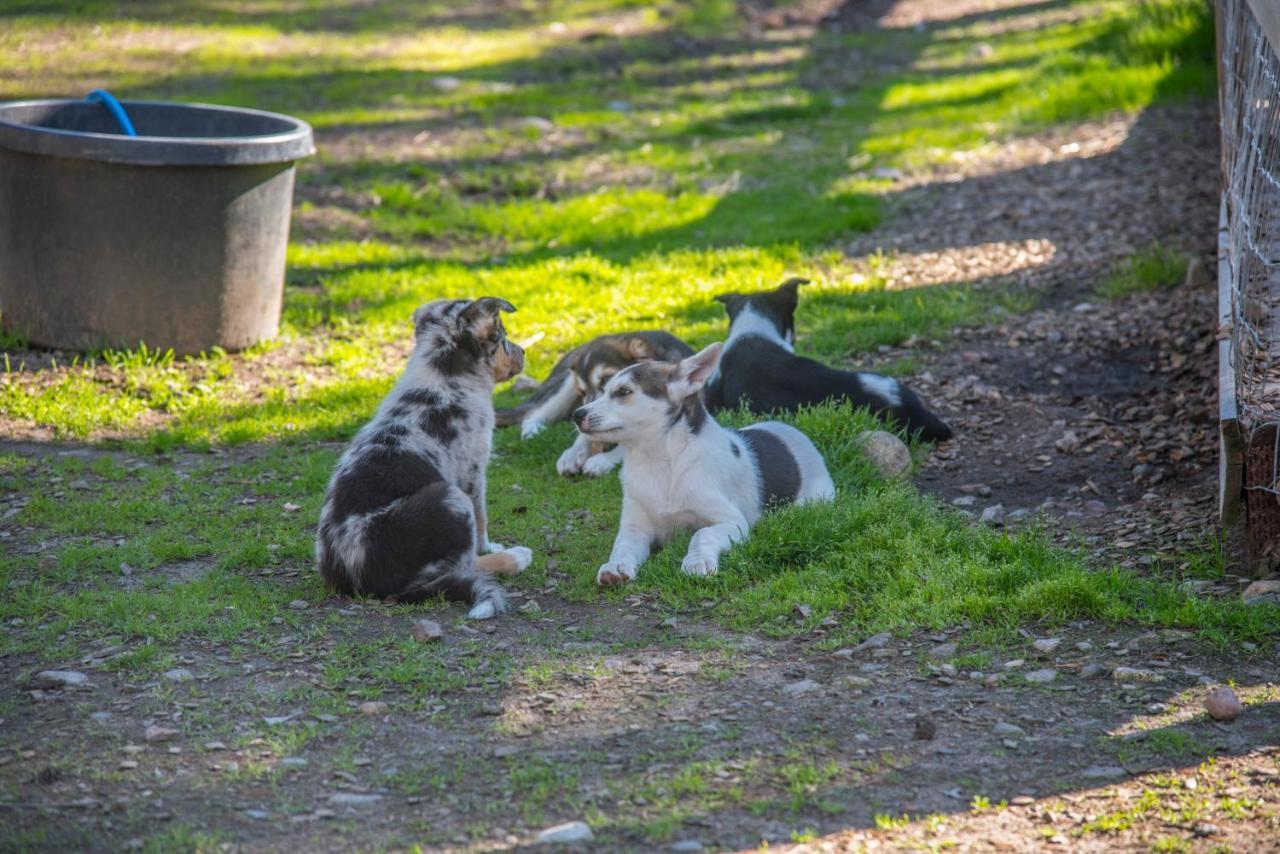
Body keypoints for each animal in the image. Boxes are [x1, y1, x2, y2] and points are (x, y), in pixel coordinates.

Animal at [322, 297, 537, 617]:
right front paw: (490, 547)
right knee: (462, 565)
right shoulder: (473, 472)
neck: (442, 374)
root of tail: (358, 582)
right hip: (450, 498)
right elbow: (481, 520)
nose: (523, 351)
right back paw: (516, 557)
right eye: (501, 337)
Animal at [491, 330, 691, 478]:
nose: (578, 416)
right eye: (582, 391)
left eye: (607, 379)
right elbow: (584, 436)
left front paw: (603, 460)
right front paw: (572, 454)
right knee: (531, 414)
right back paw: (533, 431)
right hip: (563, 385)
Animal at [576, 343, 834, 588]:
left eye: (623, 392)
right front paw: (616, 566)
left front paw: (697, 562)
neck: (659, 460)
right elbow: (623, 546)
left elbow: (701, 534)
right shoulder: (635, 528)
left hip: (815, 499)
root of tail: (794, 432)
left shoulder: (732, 522)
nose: (576, 415)